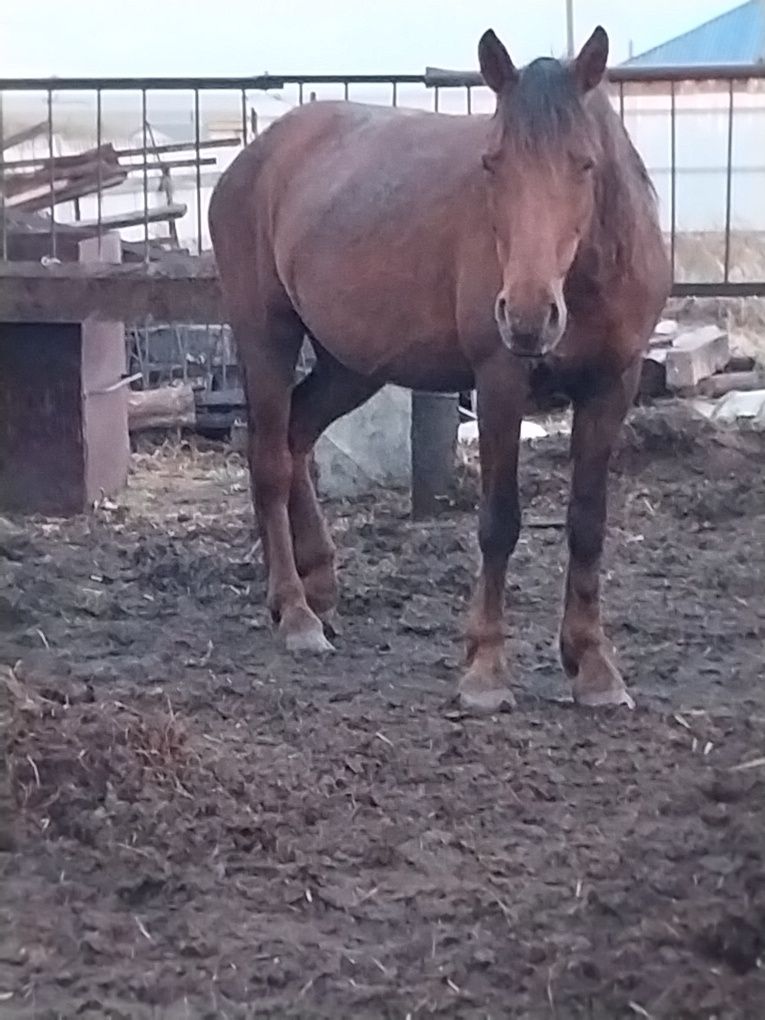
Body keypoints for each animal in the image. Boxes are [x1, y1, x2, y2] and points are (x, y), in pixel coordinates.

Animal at [210, 23, 669, 709]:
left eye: (585, 162)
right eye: (492, 162)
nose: (527, 318)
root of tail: (254, 156)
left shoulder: (614, 385)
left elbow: (588, 523)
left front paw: (593, 667)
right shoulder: (500, 382)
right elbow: (499, 522)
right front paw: (485, 669)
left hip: (353, 362)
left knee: (296, 436)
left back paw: (318, 586)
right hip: (266, 333)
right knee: (268, 457)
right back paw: (295, 613)